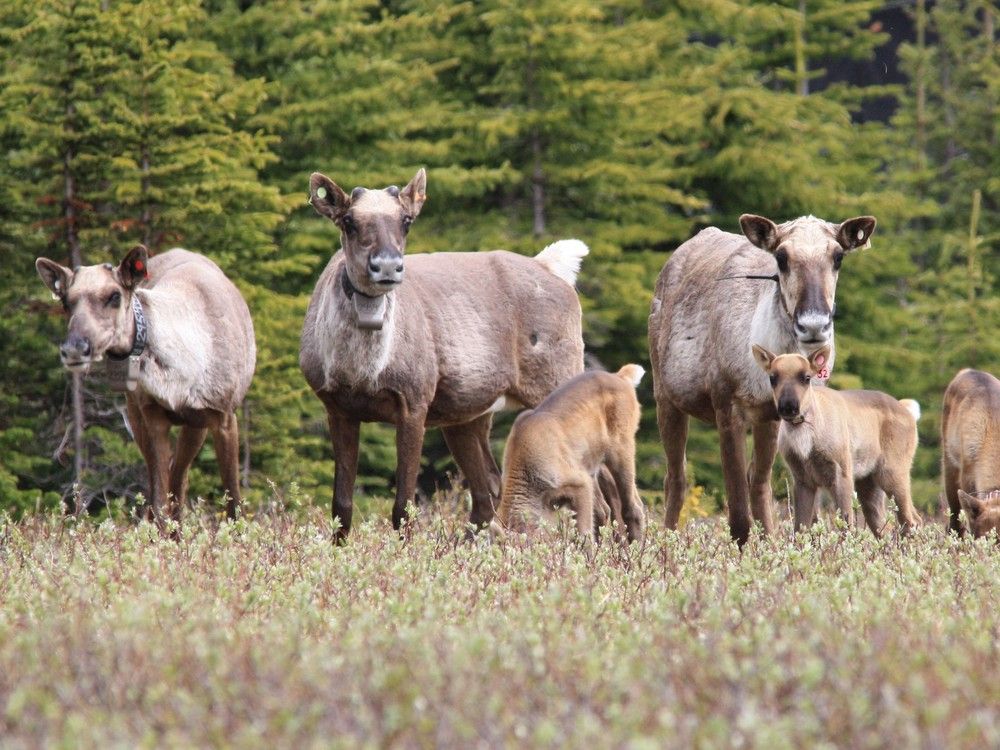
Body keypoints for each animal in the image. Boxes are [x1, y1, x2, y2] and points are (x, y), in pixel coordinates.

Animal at [37, 248, 258, 528]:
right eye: (66, 301)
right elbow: (160, 499)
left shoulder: (223, 415)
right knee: (170, 482)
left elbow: (234, 503)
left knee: (179, 476)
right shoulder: (152, 416)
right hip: (136, 411)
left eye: (114, 295)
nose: (74, 348)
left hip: (195, 424)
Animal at [494, 368, 648, 544]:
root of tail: (622, 377)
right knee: (606, 509)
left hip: (622, 448)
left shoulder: (579, 482)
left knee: (633, 507)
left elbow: (584, 532)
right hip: (592, 463)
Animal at [752, 344, 920, 536]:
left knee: (912, 519)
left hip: (893, 471)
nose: (788, 406)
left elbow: (846, 525)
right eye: (772, 377)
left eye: (806, 377)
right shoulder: (802, 478)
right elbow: (800, 527)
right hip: (868, 482)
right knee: (885, 526)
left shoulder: (842, 471)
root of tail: (909, 412)